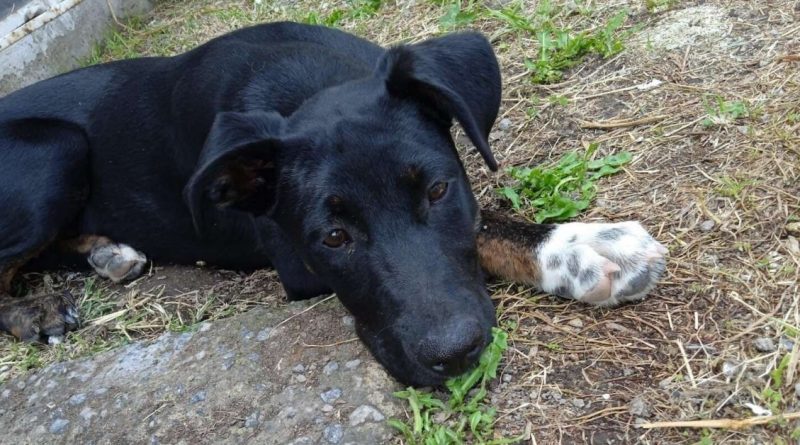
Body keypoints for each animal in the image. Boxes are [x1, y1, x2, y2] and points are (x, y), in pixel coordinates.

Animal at [1, 21, 668, 386]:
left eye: (437, 191)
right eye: (333, 238)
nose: (456, 356)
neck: (306, 84)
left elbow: (483, 223)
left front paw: (577, 241)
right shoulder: (296, 264)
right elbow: (483, 233)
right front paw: (583, 251)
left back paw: (107, 253)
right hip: (57, 150)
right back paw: (34, 312)